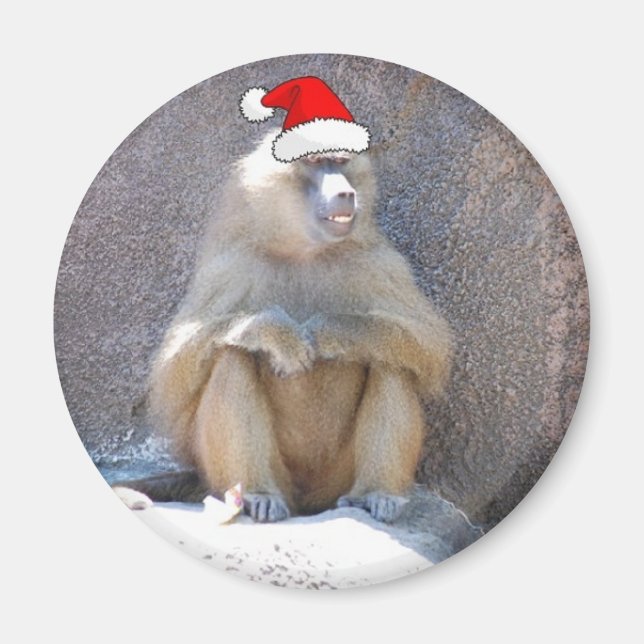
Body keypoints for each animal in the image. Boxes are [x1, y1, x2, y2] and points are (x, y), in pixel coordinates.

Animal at [148, 130, 452, 523]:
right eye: (315, 162)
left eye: (340, 162)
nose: (346, 193)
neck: (303, 250)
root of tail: (308, 503)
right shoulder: (230, 265)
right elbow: (172, 379)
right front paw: (277, 334)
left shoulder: (379, 261)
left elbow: (429, 346)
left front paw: (329, 332)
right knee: (231, 356)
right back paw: (258, 495)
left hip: (336, 481)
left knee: (390, 360)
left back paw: (376, 494)